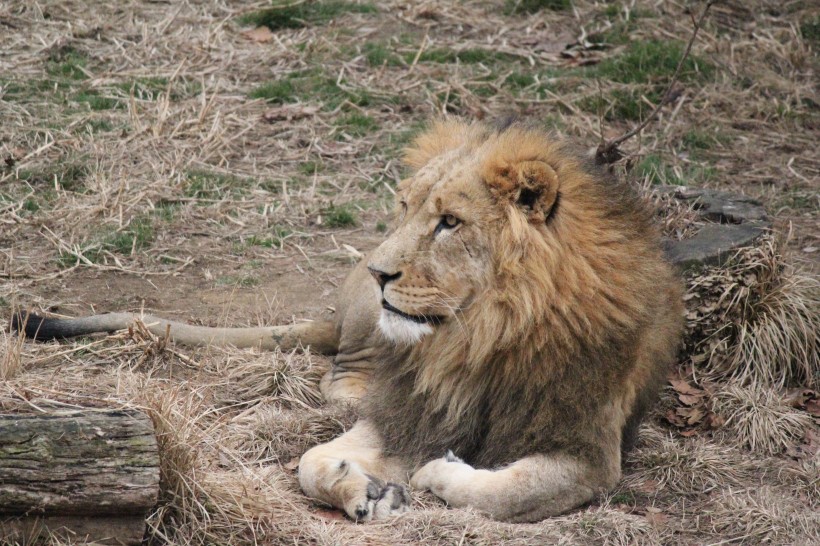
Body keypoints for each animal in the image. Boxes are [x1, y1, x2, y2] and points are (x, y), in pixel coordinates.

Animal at [12, 120, 684, 524]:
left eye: (450, 222)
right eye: (406, 207)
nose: (379, 270)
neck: (477, 337)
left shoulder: (585, 451)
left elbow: (512, 489)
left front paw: (440, 472)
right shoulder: (410, 411)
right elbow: (310, 462)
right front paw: (363, 490)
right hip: (362, 329)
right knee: (340, 374)